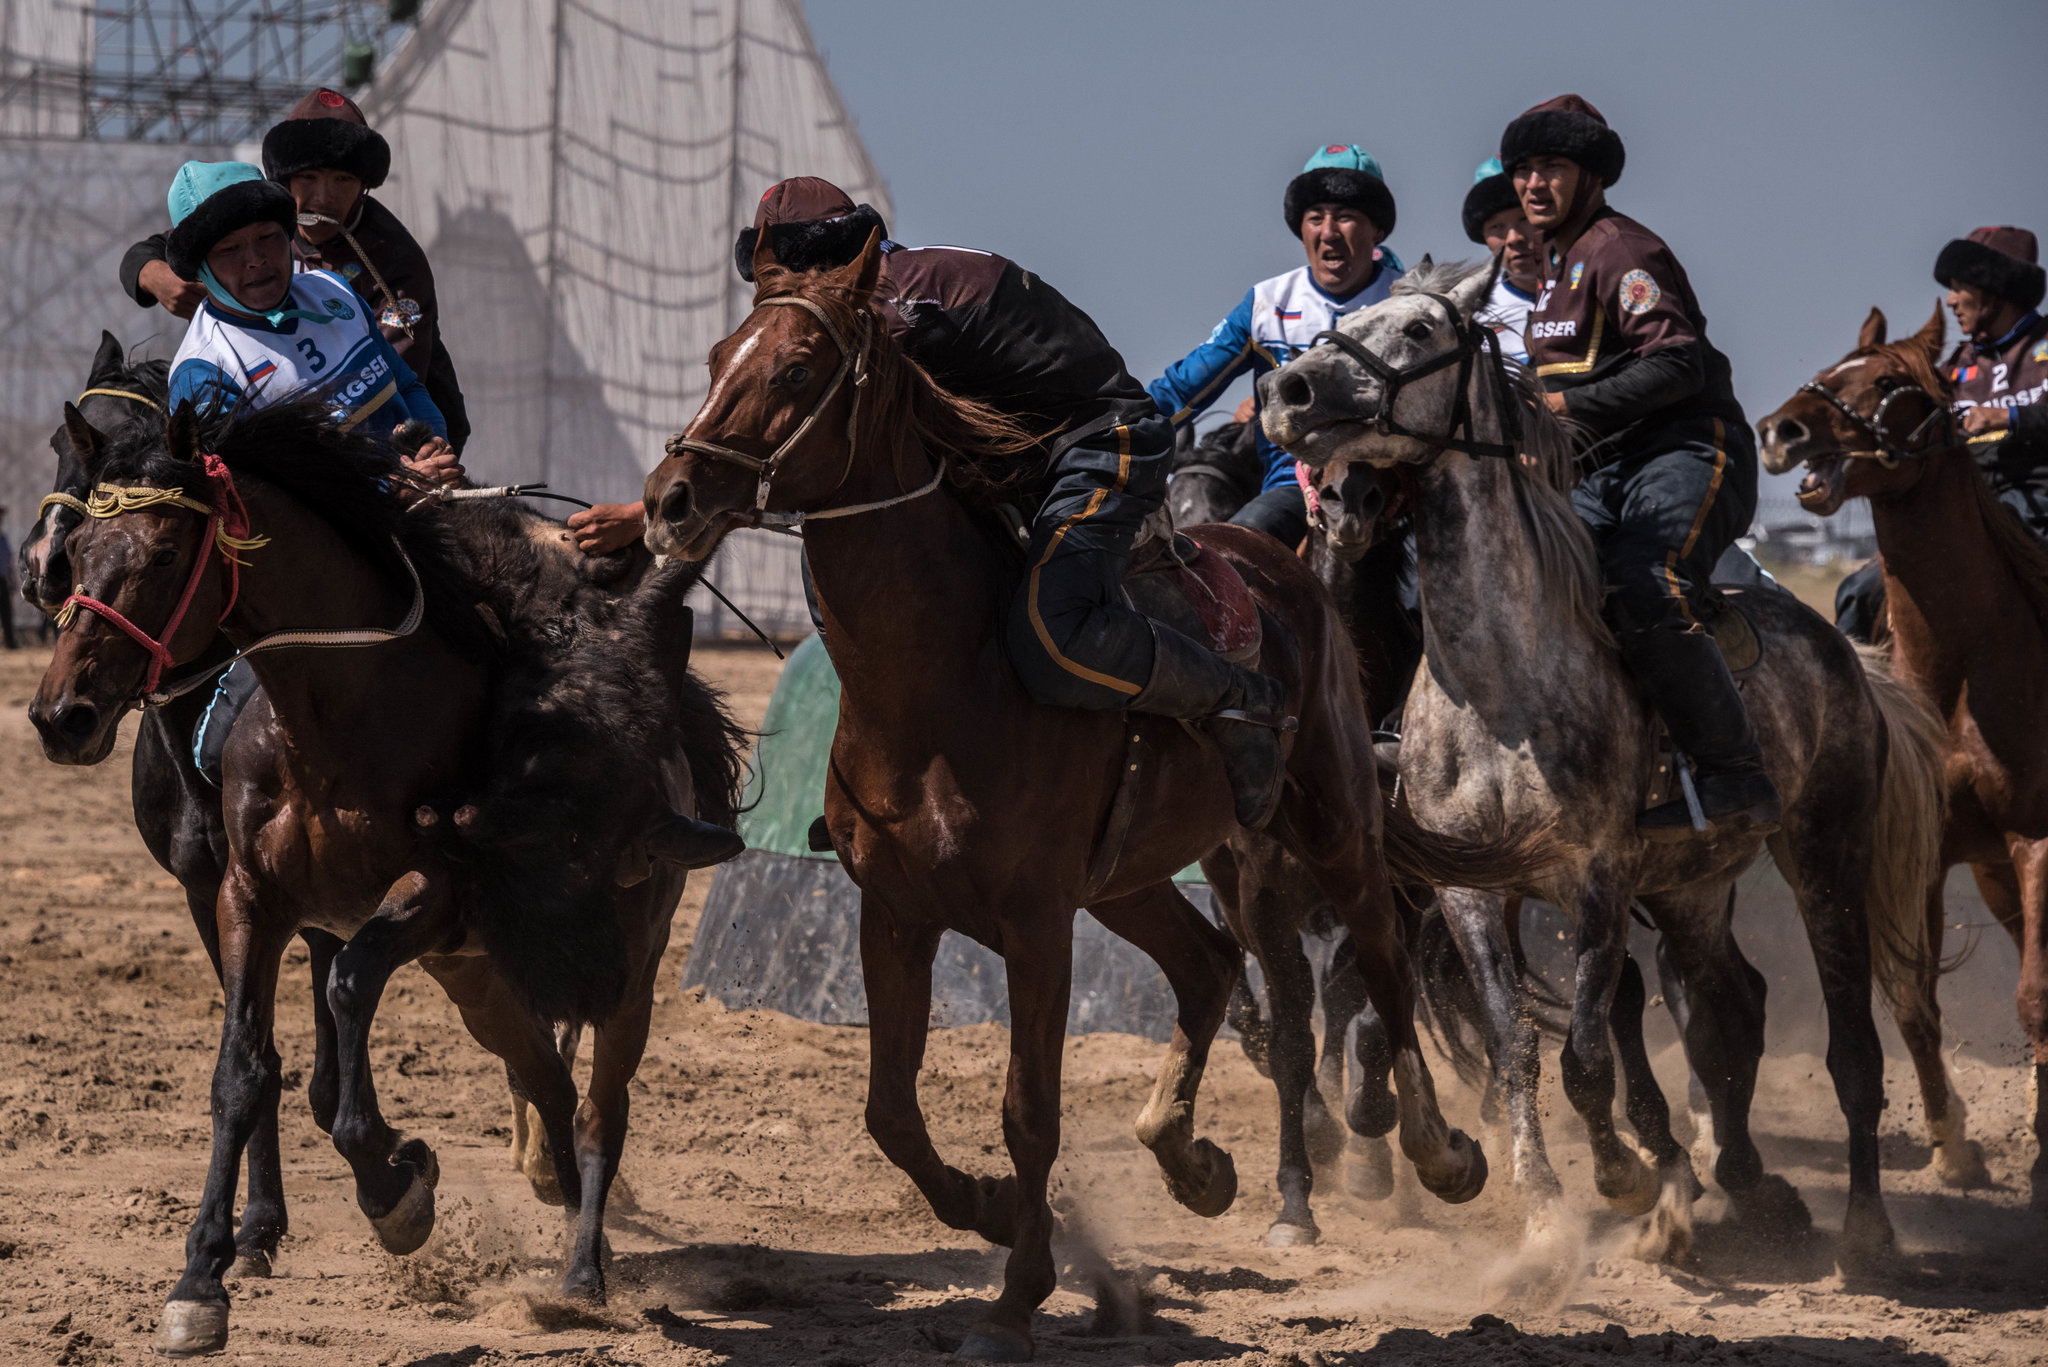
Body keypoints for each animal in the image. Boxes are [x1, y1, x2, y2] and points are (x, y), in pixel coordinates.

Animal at [32, 397, 745, 1360]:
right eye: (76, 552)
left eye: (165, 554)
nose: (60, 714)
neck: (339, 716)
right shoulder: (246, 899)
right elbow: (242, 1070)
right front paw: (201, 1277)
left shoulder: (432, 900)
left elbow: (345, 989)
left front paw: (395, 1187)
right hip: (482, 979)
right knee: (550, 1085)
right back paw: (564, 1217)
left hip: (623, 968)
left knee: (601, 1107)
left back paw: (584, 1274)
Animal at [638, 227, 1548, 1360]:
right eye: (720, 355)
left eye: (798, 370)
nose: (669, 500)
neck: (942, 681)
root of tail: (1282, 566)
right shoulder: (894, 912)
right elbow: (889, 1108)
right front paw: (987, 1208)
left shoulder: (1035, 924)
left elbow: (1029, 1108)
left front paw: (1016, 1297)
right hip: (1135, 876)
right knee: (1209, 964)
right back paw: (1192, 1160)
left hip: (1331, 818)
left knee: (1378, 952)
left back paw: (1435, 1150)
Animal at [1253, 262, 1941, 1278]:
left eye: (1418, 329)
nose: (1288, 392)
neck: (1499, 685)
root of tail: (1841, 652)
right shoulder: (1466, 893)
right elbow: (1513, 1047)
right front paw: (1542, 1211)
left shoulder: (1598, 881)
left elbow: (1585, 1052)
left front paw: (1624, 1180)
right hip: (1693, 888)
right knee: (1731, 1006)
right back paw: (1751, 1188)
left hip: (1825, 856)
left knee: (1853, 1044)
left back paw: (1864, 1228)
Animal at [1761, 307, 2048, 1205]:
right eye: (1831, 367)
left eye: (1890, 381)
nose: (1779, 429)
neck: (1965, 675)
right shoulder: (1923, 852)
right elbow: (1915, 1000)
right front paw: (1954, 1147)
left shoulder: (2038, 841)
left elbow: (2035, 996)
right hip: (1989, 872)